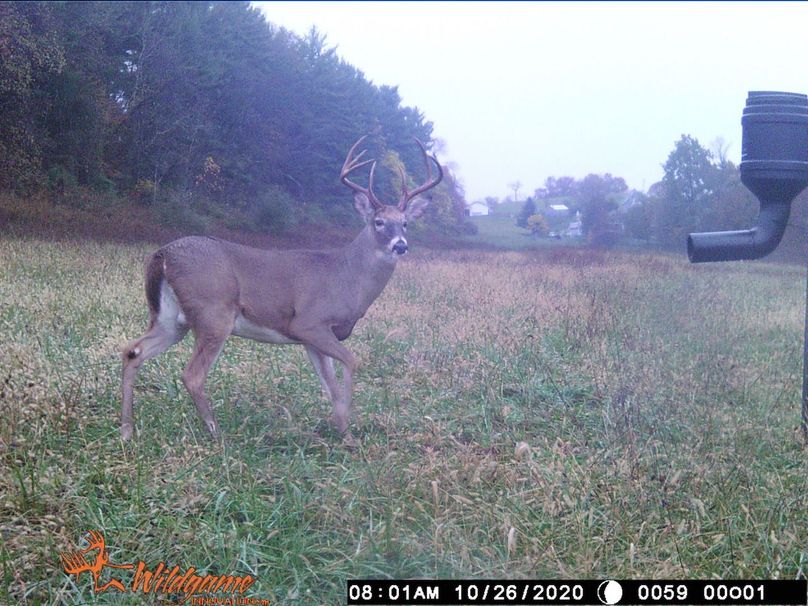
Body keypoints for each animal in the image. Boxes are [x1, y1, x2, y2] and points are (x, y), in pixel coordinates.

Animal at [121, 136, 442, 442]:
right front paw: (349, 432)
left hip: (171, 319)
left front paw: (343, 432)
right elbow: (352, 362)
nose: (400, 245)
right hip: (214, 313)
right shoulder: (309, 322)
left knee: (133, 351)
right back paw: (216, 433)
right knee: (192, 375)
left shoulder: (312, 339)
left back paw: (126, 430)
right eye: (379, 222)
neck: (347, 276)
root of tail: (163, 254)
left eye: (405, 223)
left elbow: (330, 385)